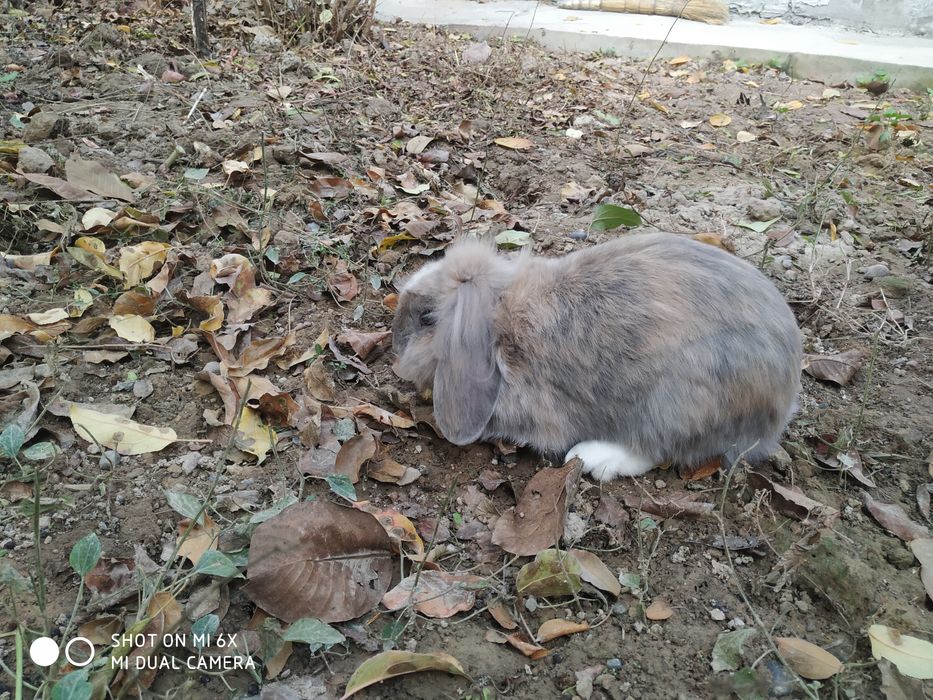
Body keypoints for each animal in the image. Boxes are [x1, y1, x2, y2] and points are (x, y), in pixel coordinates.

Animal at [391, 232, 802, 481]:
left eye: (426, 318)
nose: (394, 344)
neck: (501, 321)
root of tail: (780, 407)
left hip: (676, 403)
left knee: (662, 449)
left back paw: (595, 458)